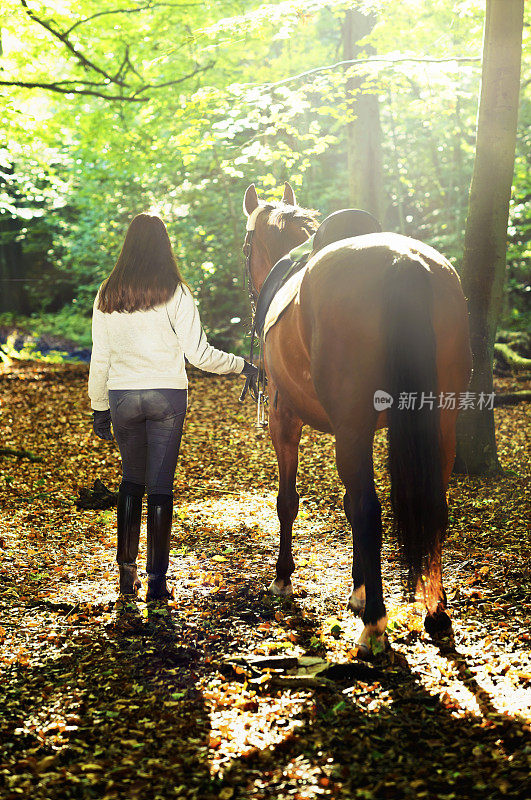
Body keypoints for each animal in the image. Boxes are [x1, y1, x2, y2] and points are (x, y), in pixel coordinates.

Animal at [243, 181, 472, 656]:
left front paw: (284, 578)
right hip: (441, 422)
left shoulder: (286, 418)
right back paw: (436, 613)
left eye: (246, 246)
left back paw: (375, 626)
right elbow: (348, 504)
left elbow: (290, 501)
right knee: (434, 507)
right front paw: (359, 588)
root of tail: (402, 262)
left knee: (370, 509)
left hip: (347, 423)